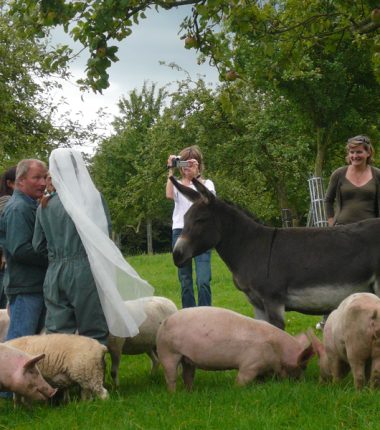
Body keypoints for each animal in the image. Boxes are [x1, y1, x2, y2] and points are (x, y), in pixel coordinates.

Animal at [156, 304, 314, 392]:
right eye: (303, 366)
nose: (303, 383)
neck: (278, 351)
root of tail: (165, 321)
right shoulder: (251, 364)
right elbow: (242, 379)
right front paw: (235, 389)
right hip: (167, 352)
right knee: (171, 376)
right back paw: (173, 394)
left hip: (187, 358)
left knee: (187, 375)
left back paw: (190, 392)